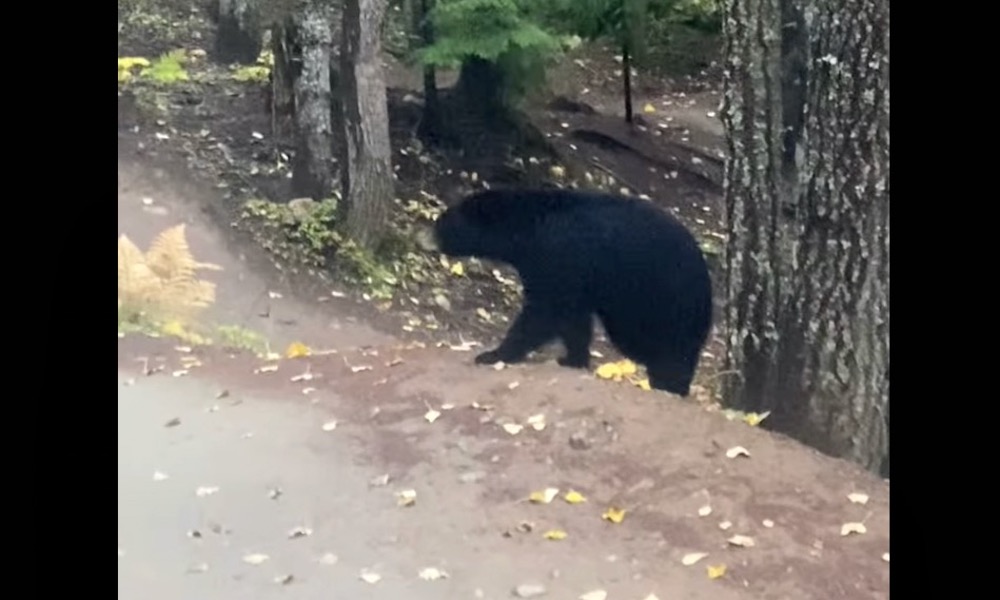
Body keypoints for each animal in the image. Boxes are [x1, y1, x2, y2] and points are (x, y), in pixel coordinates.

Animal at [436, 188, 712, 394]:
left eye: (455, 214)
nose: (436, 226)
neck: (528, 228)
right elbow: (573, 320)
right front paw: (573, 359)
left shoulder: (559, 256)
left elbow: (541, 314)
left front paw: (493, 354)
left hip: (663, 302)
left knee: (668, 350)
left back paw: (669, 385)